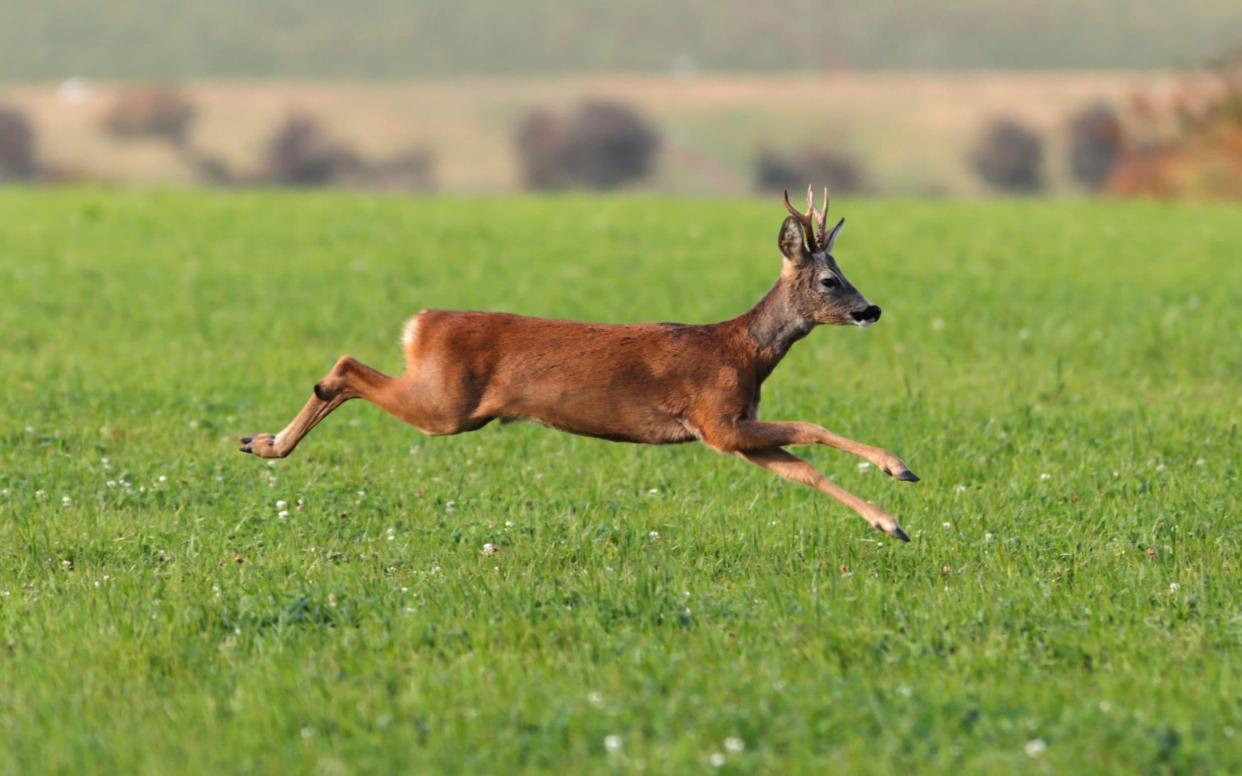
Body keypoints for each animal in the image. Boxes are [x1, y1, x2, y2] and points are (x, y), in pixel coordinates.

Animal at [244, 187, 924, 538]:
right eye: (831, 280)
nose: (871, 310)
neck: (742, 351)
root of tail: (422, 324)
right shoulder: (718, 419)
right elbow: (813, 428)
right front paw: (898, 473)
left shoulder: (732, 432)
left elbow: (804, 470)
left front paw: (888, 521)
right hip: (445, 404)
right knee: (346, 367)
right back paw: (269, 442)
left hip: (442, 398)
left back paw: (259, 440)